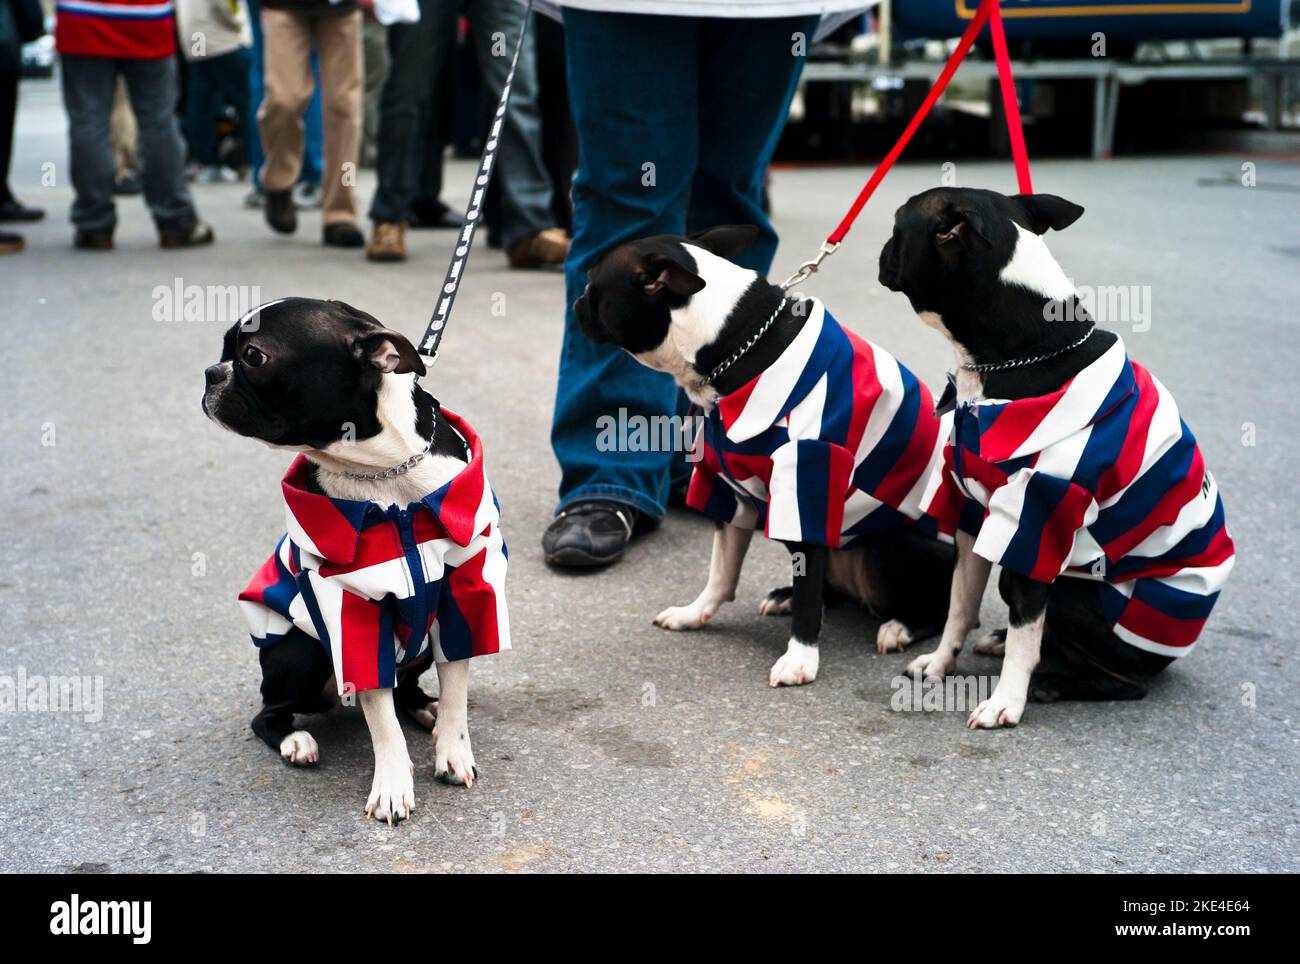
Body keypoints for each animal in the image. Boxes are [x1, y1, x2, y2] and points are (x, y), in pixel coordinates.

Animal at [201, 300, 506, 821]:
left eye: (254, 356)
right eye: (226, 351)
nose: (210, 373)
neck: (386, 477)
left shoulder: (466, 590)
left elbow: (456, 689)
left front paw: (452, 748)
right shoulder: (350, 611)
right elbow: (380, 715)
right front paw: (393, 783)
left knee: (407, 687)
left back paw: (424, 707)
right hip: (299, 655)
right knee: (268, 712)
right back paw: (295, 740)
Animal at [878, 190, 1232, 732]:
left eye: (898, 229)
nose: (882, 249)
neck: (1021, 350)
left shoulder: (1036, 523)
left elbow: (1025, 632)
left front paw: (1006, 700)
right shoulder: (974, 517)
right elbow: (960, 602)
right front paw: (941, 663)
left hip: (1080, 593)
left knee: (1125, 679)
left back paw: (1050, 682)